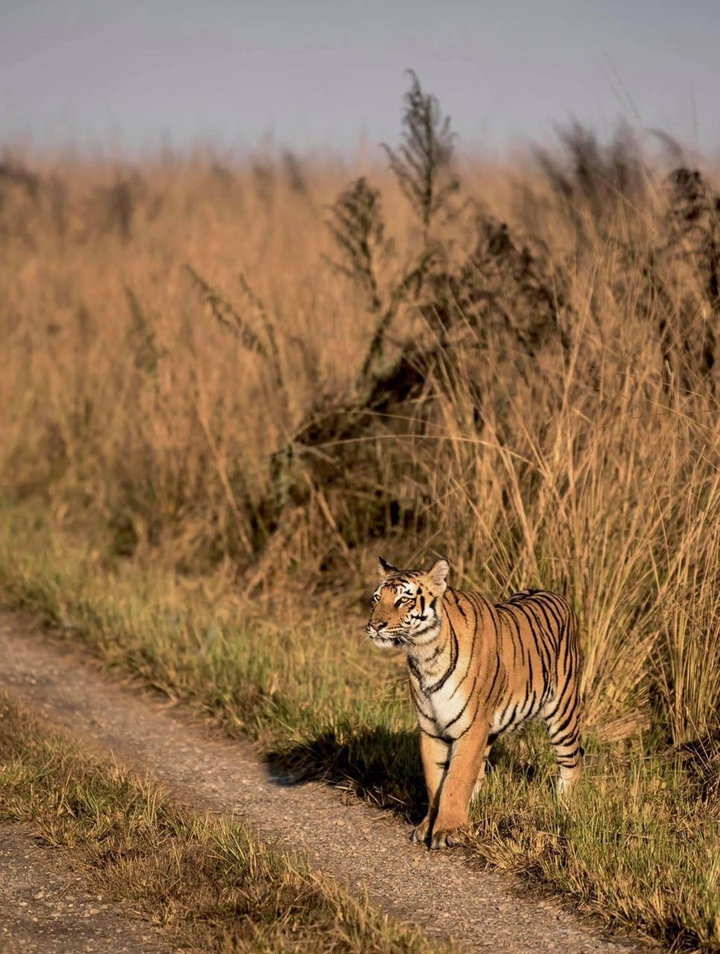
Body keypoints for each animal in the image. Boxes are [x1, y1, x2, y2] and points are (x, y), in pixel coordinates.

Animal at [366, 556, 582, 850]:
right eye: (377, 598)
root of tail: (550, 592)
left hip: (563, 712)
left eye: (403, 600)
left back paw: (564, 809)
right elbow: (436, 781)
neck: (425, 654)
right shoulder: (431, 729)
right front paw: (428, 826)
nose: (375, 625)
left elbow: (455, 780)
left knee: (571, 764)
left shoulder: (472, 727)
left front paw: (447, 830)